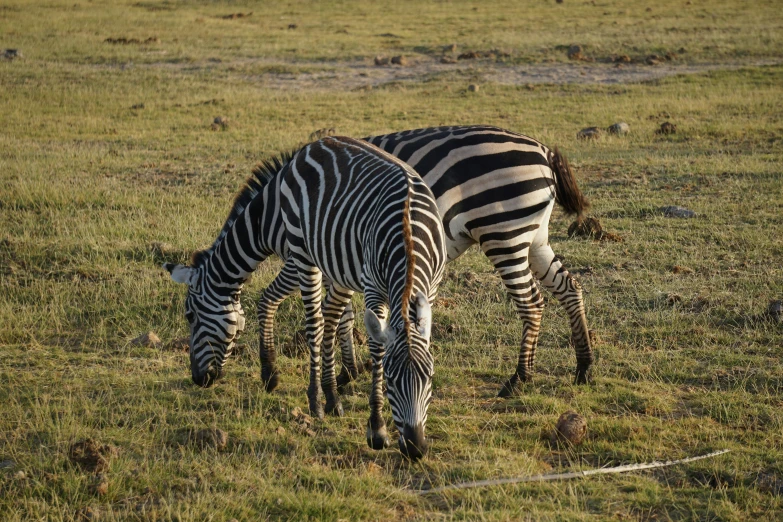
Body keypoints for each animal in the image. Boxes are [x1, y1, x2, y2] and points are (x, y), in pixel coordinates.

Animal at [163, 136, 448, 458]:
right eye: (390, 379)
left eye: (430, 378)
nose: (199, 379)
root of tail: (316, 143)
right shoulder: (347, 275)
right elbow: (350, 329)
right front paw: (374, 423)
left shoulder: (424, 288)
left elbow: (284, 303)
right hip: (306, 252)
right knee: (316, 321)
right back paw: (318, 399)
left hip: (317, 257)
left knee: (322, 319)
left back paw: (327, 394)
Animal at [258, 125, 596, 394]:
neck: (271, 214)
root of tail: (545, 153)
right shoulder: (339, 258)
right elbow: (345, 314)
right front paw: (348, 371)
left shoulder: (309, 253)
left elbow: (281, 300)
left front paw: (282, 373)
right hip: (534, 236)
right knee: (569, 287)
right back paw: (584, 366)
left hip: (504, 233)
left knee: (532, 303)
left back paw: (519, 378)